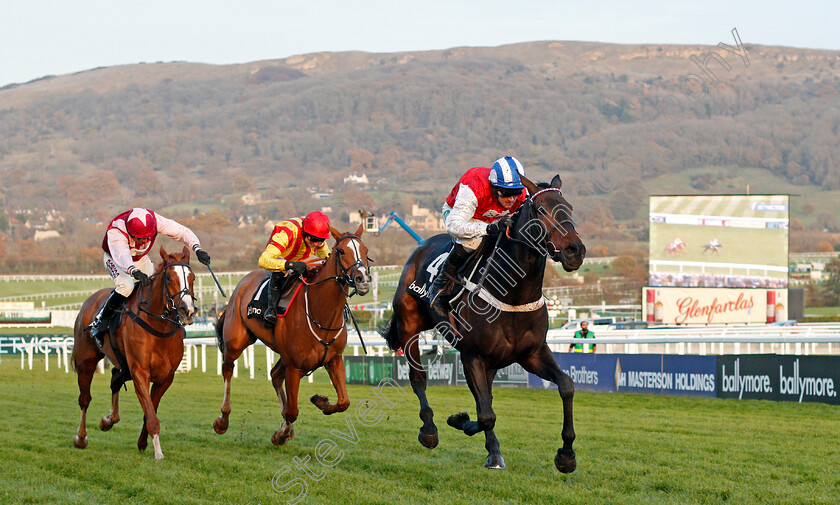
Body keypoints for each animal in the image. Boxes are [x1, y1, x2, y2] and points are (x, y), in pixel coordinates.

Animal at [71, 246, 196, 458]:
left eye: (192, 277)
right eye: (169, 278)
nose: (186, 311)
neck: (159, 327)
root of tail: (90, 300)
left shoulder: (166, 377)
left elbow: (150, 410)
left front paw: (143, 442)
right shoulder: (139, 372)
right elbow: (151, 414)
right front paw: (158, 453)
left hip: (123, 365)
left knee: (115, 378)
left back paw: (108, 420)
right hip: (86, 361)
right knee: (85, 399)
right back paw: (81, 437)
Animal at [215, 224, 372, 444]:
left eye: (366, 251)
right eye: (341, 251)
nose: (363, 279)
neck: (321, 314)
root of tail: (243, 281)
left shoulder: (334, 359)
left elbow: (344, 402)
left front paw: (320, 401)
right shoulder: (295, 367)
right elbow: (292, 411)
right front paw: (281, 433)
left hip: (283, 353)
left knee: (274, 375)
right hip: (236, 341)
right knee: (228, 369)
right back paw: (223, 419)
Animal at [380, 175, 584, 470]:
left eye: (569, 208)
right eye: (541, 210)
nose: (575, 250)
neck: (512, 295)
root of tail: (419, 248)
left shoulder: (532, 353)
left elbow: (566, 386)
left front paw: (566, 454)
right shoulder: (472, 355)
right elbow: (486, 413)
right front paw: (459, 420)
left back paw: (492, 450)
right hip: (409, 326)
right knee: (419, 379)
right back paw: (429, 430)